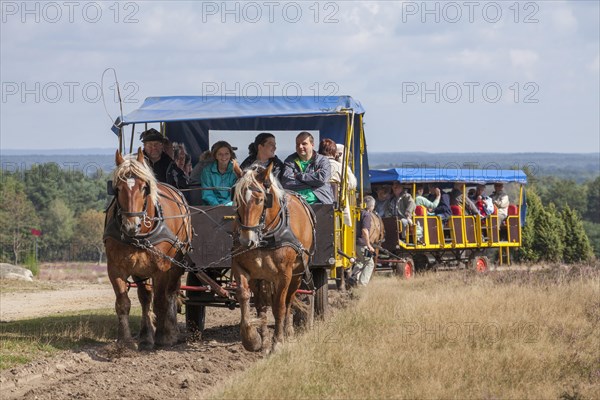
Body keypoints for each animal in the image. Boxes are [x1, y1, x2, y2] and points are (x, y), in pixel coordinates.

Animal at [103, 148, 192, 350]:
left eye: (144, 188)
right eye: (117, 188)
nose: (130, 225)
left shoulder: (162, 267)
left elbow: (160, 301)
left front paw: (164, 336)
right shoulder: (116, 268)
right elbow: (123, 303)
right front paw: (126, 342)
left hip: (177, 264)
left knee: (171, 293)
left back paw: (171, 330)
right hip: (141, 269)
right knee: (145, 296)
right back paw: (146, 335)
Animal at [231, 164, 316, 352]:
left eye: (261, 200)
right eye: (237, 200)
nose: (246, 241)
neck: (265, 236)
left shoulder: (284, 275)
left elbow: (279, 306)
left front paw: (278, 342)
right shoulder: (241, 267)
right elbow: (244, 296)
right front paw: (252, 339)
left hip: (297, 274)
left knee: (289, 301)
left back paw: (288, 332)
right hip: (261, 277)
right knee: (261, 305)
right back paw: (264, 341)